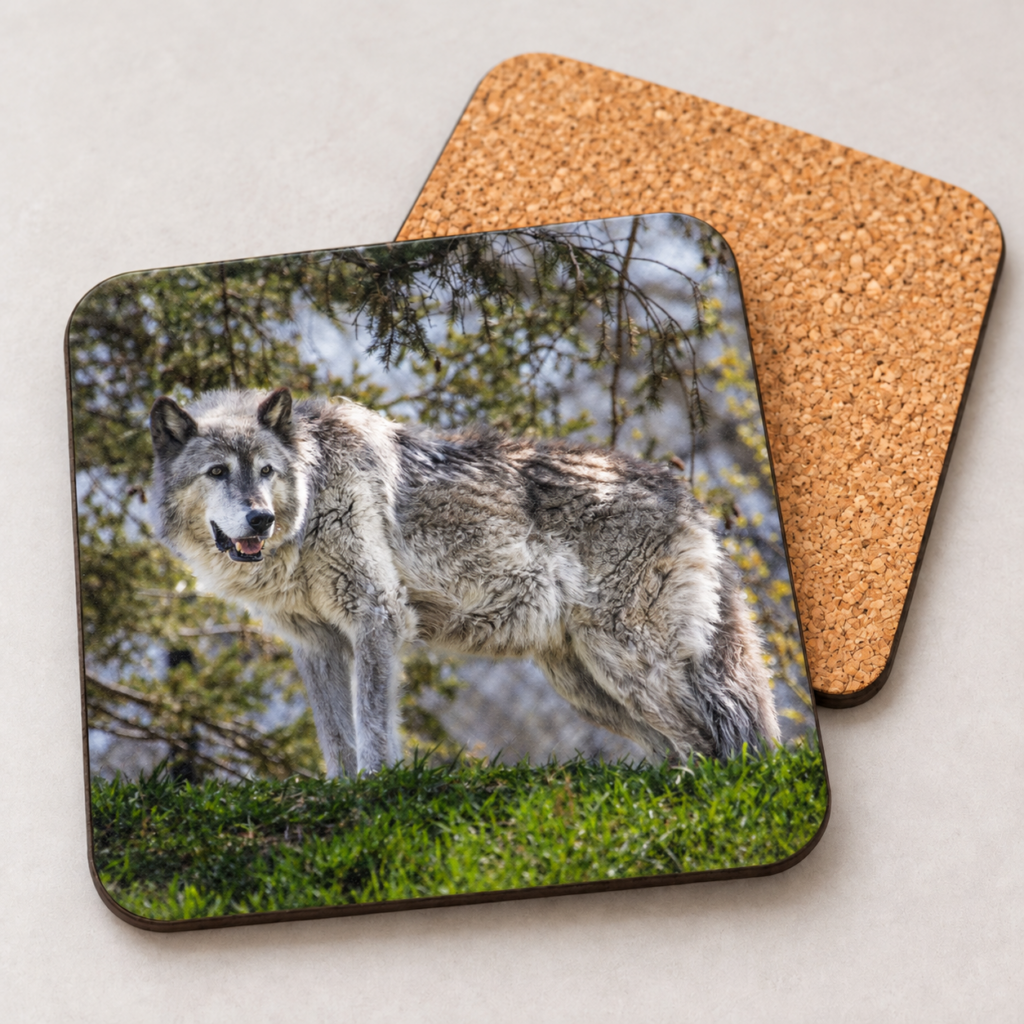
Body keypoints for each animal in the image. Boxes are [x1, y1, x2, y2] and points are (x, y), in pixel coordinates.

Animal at [149, 387, 780, 776]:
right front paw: (342, 792)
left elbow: (372, 726)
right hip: (588, 687)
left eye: (266, 471)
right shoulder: (315, 643)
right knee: (678, 749)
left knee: (710, 740)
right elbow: (335, 737)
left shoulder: (377, 618)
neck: (309, 505)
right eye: (217, 472)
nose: (260, 519)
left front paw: (375, 791)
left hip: (628, 664)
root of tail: (689, 498)